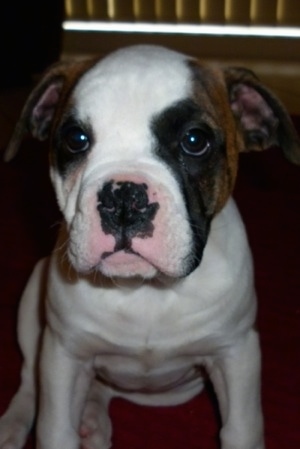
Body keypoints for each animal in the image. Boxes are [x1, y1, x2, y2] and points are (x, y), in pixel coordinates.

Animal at [0, 44, 300, 448]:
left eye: (194, 141)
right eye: (76, 139)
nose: (125, 198)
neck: (144, 290)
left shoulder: (236, 353)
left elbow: (241, 429)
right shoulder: (64, 355)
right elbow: (56, 427)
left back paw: (93, 420)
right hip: (35, 301)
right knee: (31, 380)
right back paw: (17, 422)